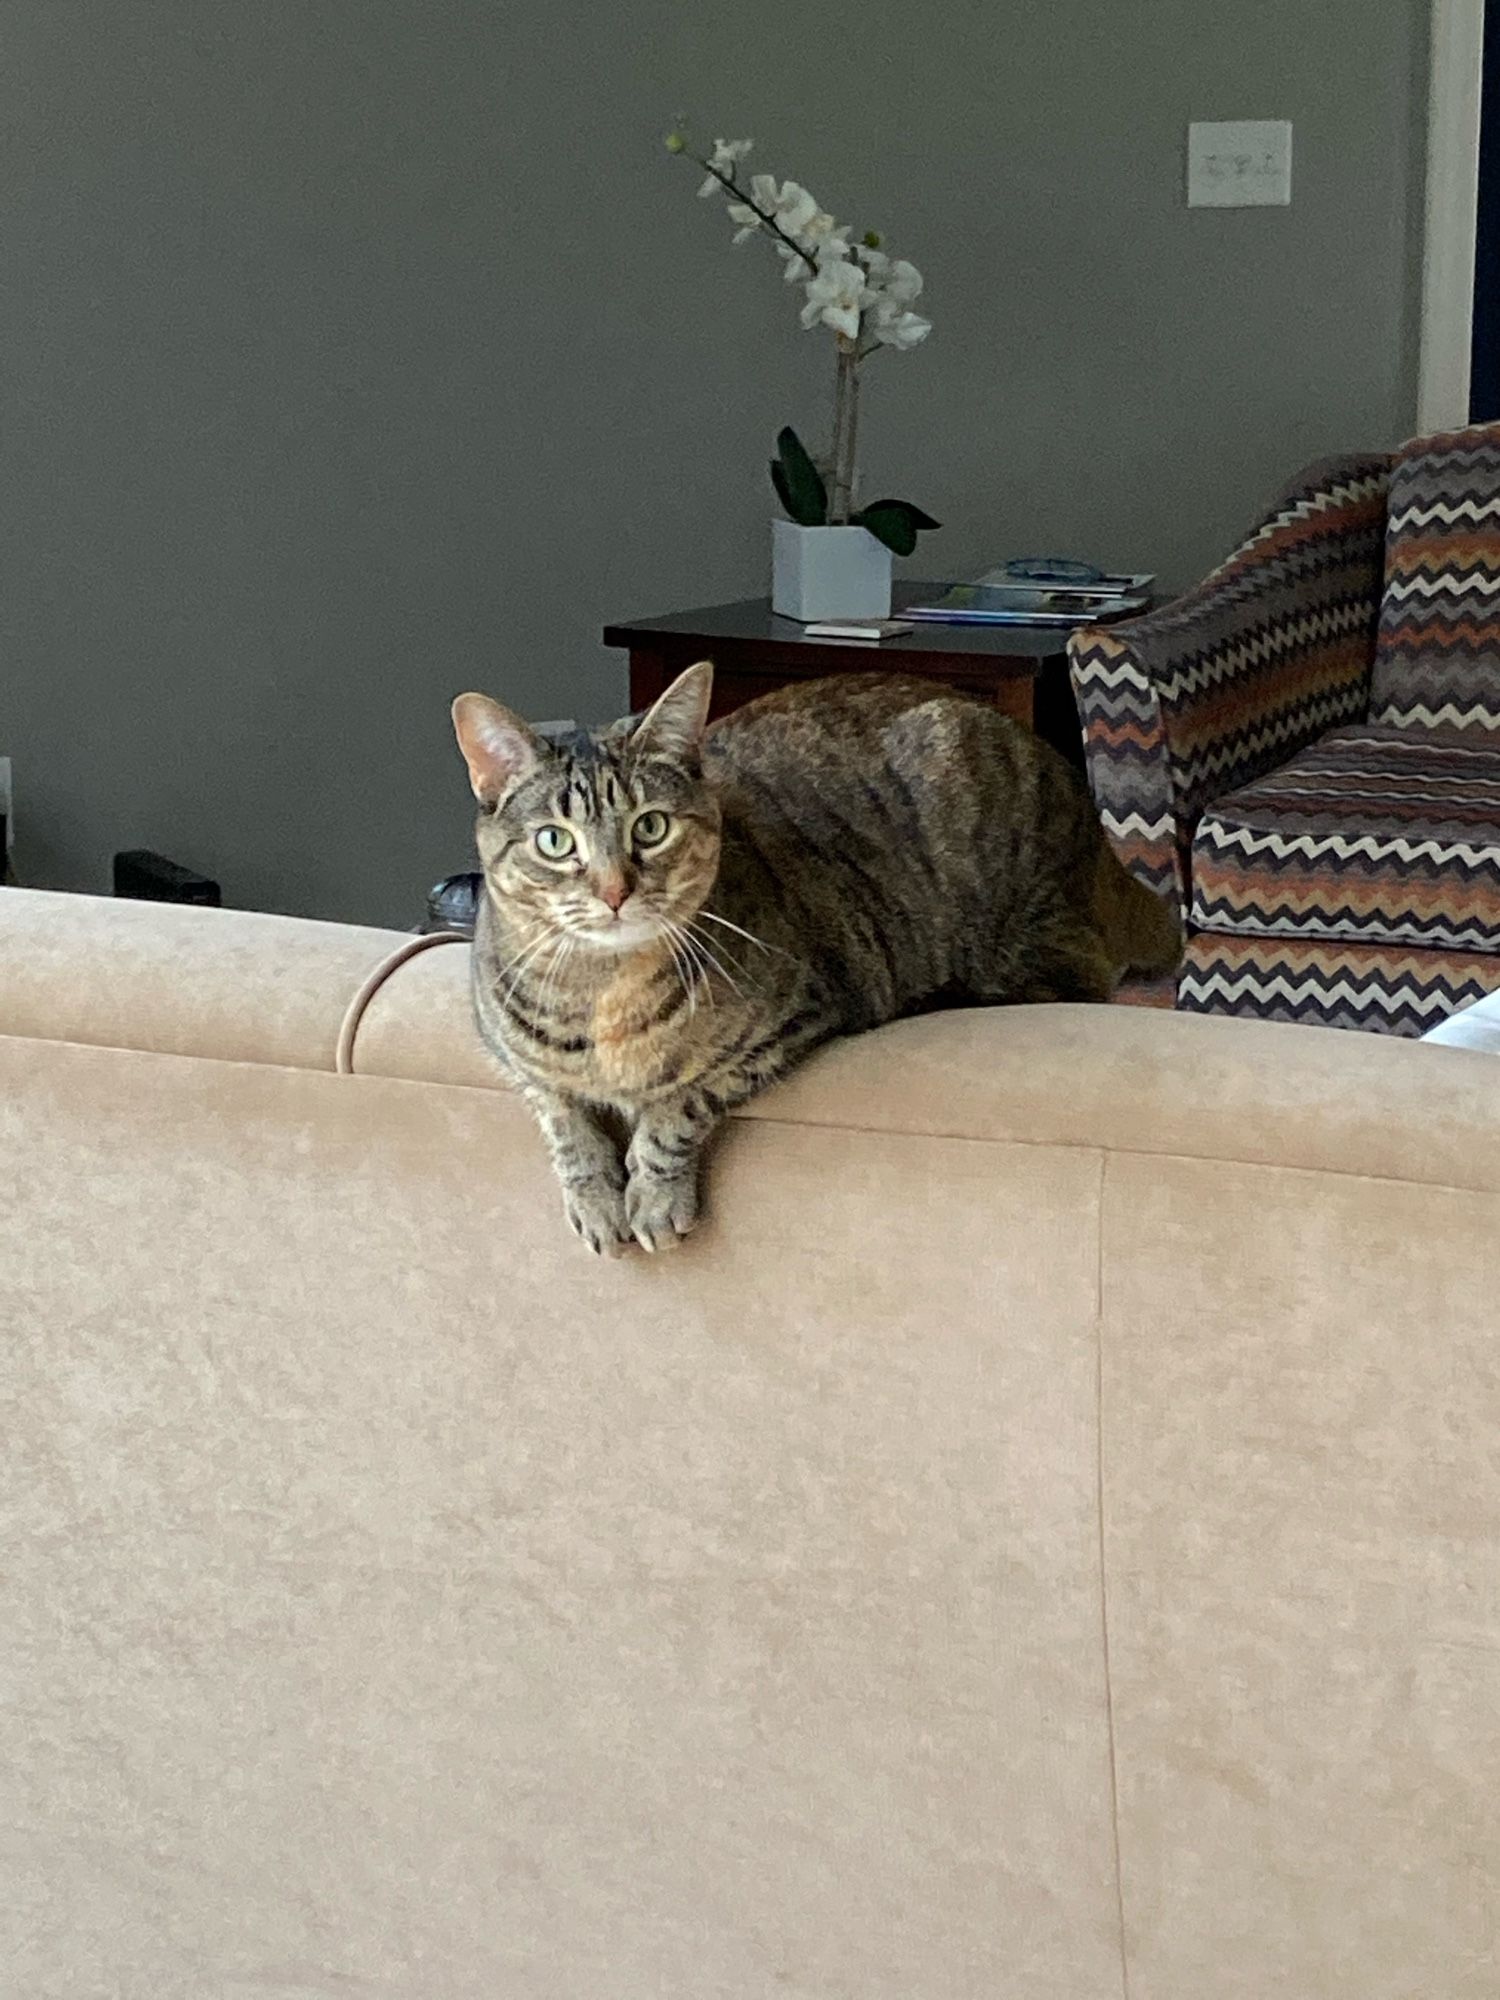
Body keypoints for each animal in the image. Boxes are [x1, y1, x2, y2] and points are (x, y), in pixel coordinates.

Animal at [452, 672, 1184, 1264]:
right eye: (555, 841)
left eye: (651, 827)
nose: (614, 892)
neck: (605, 997)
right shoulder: (502, 1045)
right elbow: (560, 1116)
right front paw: (598, 1198)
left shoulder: (801, 1011)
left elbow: (679, 1105)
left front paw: (654, 1193)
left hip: (1025, 913)